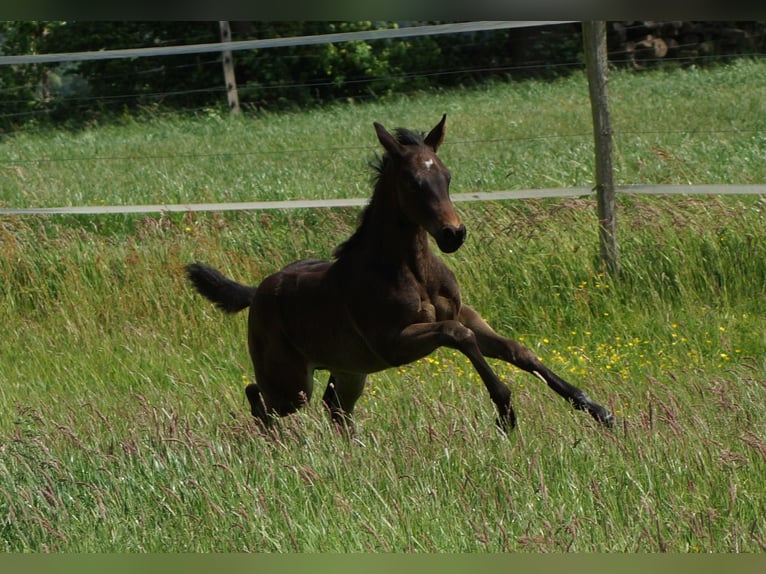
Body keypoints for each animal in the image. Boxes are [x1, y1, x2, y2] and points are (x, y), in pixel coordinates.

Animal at [185, 114, 614, 434]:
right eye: (412, 181)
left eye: (447, 175)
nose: (453, 234)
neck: (415, 271)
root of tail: (257, 291)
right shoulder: (394, 343)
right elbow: (458, 336)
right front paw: (505, 410)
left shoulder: (464, 313)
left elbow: (515, 349)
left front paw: (596, 409)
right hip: (290, 382)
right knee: (259, 397)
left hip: (349, 371)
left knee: (333, 407)